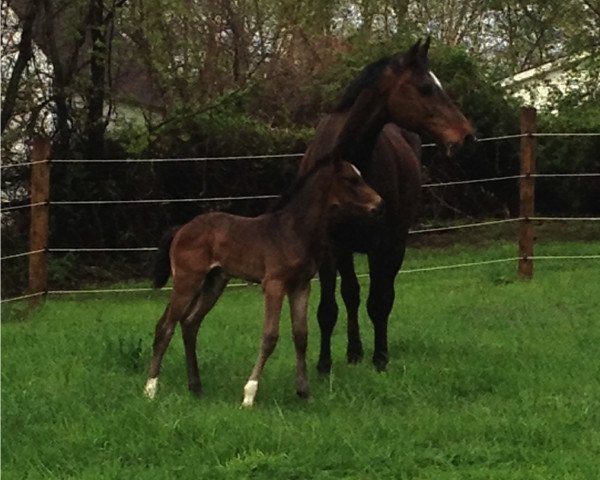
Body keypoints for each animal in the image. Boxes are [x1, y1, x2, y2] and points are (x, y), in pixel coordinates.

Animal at [143, 159, 382, 406]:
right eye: (351, 180)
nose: (378, 203)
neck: (295, 231)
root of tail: (180, 229)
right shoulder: (274, 284)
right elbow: (270, 336)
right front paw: (249, 394)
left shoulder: (301, 285)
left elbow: (301, 335)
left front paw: (304, 392)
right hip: (187, 280)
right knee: (165, 327)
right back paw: (150, 389)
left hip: (214, 283)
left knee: (190, 323)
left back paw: (196, 388)